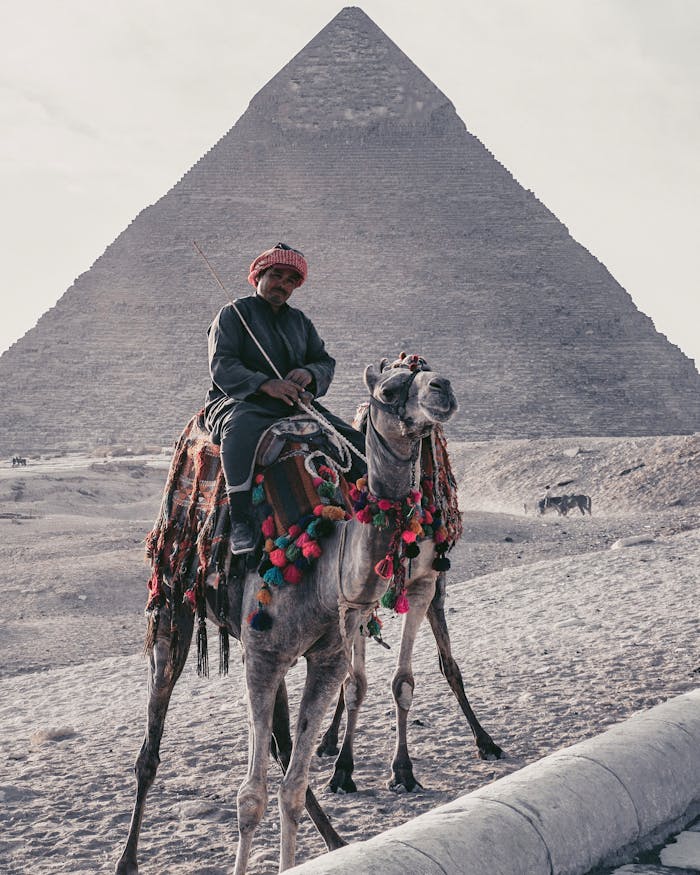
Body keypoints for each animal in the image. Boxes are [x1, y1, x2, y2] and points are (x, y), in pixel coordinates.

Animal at [116, 358, 470, 875]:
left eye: (425, 375)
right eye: (388, 390)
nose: (443, 388)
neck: (321, 557)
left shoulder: (324, 658)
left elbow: (294, 787)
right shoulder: (264, 658)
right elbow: (251, 798)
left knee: (283, 750)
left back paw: (337, 840)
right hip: (173, 604)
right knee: (150, 746)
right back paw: (127, 859)